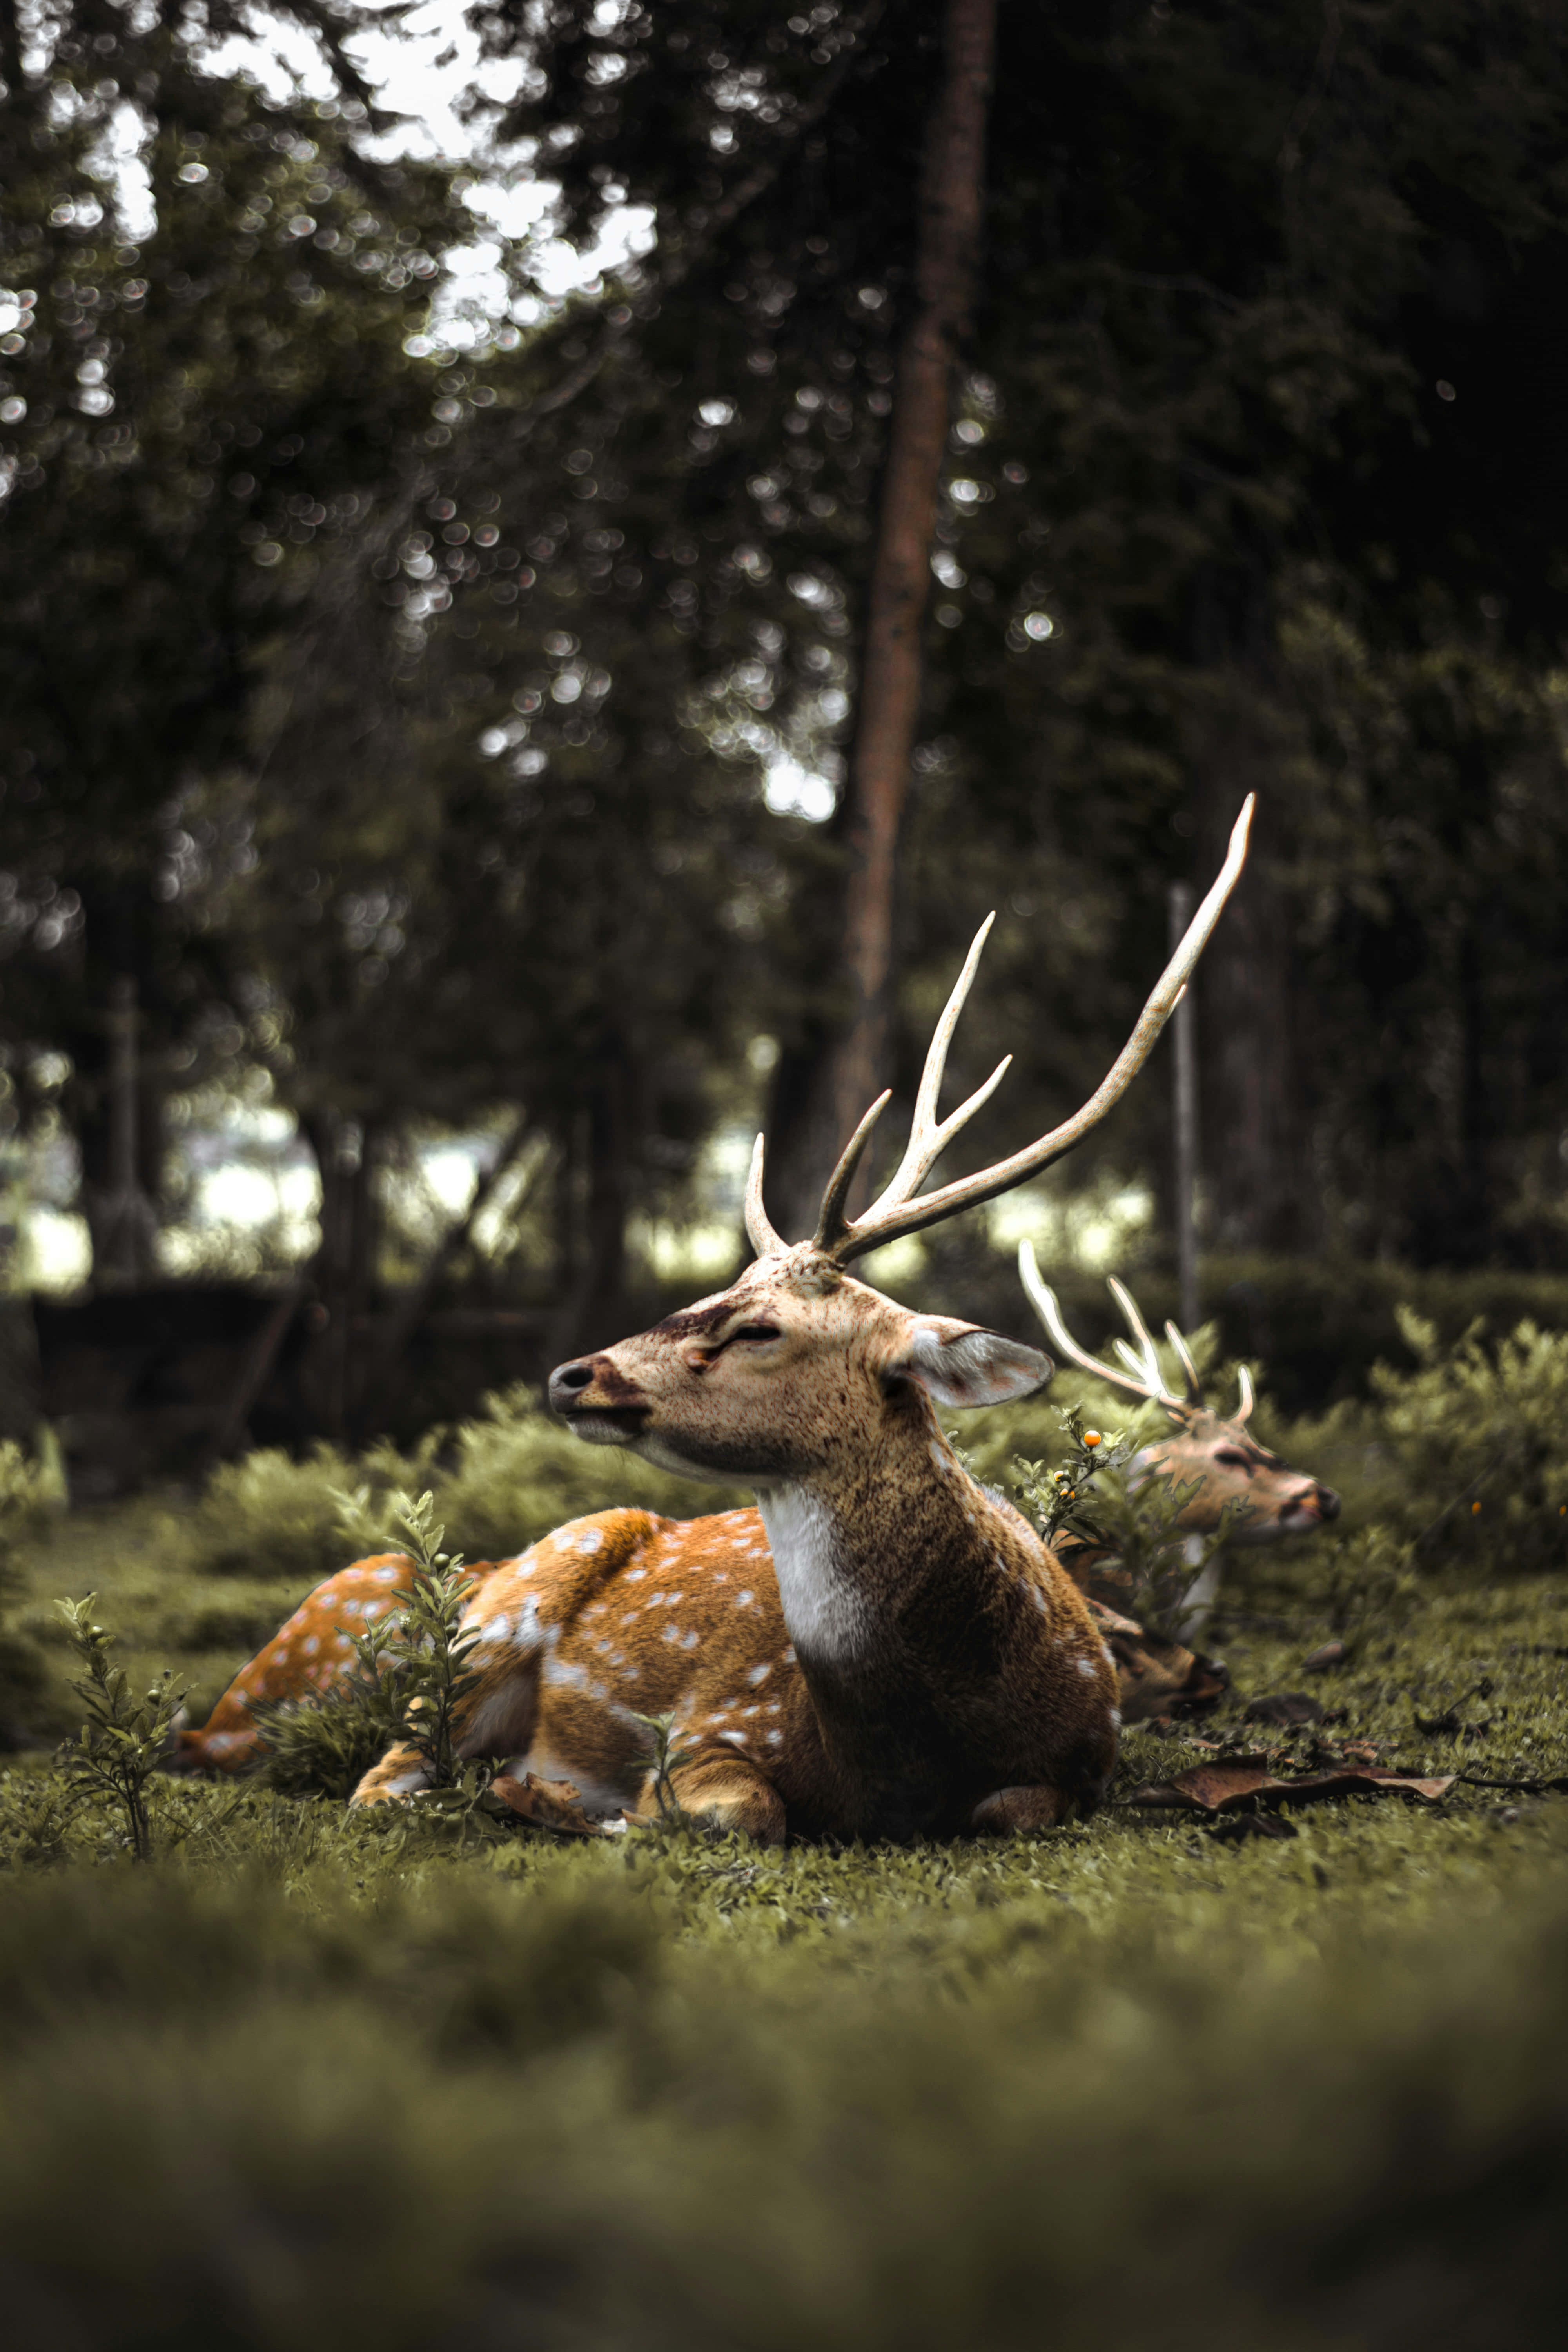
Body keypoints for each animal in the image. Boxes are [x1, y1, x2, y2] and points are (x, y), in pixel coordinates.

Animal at [178, 802, 1255, 1832]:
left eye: (760, 1328)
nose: (573, 1374)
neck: (904, 1754)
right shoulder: (717, 1720)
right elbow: (747, 1812)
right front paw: (598, 1808)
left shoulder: (1081, 1762)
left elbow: (1012, 1809)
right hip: (498, 1614)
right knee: (384, 1777)